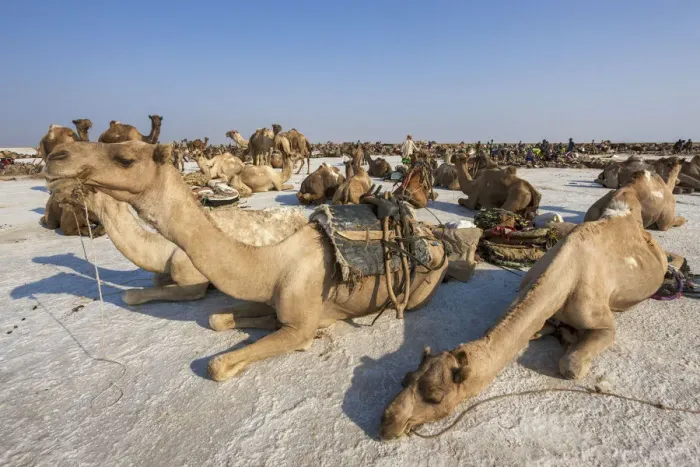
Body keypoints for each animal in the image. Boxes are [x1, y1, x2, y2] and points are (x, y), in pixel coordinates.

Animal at [44, 141, 449, 381]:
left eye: (125, 158)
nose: (56, 158)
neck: (271, 263)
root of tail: (434, 235)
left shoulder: (298, 326)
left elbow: (217, 365)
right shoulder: (272, 302)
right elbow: (217, 318)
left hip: (420, 290)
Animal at [381, 198, 669, 439]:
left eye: (436, 397)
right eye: (405, 378)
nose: (388, 421)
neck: (564, 276)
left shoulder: (600, 319)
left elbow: (571, 365)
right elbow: (538, 329)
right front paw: (555, 330)